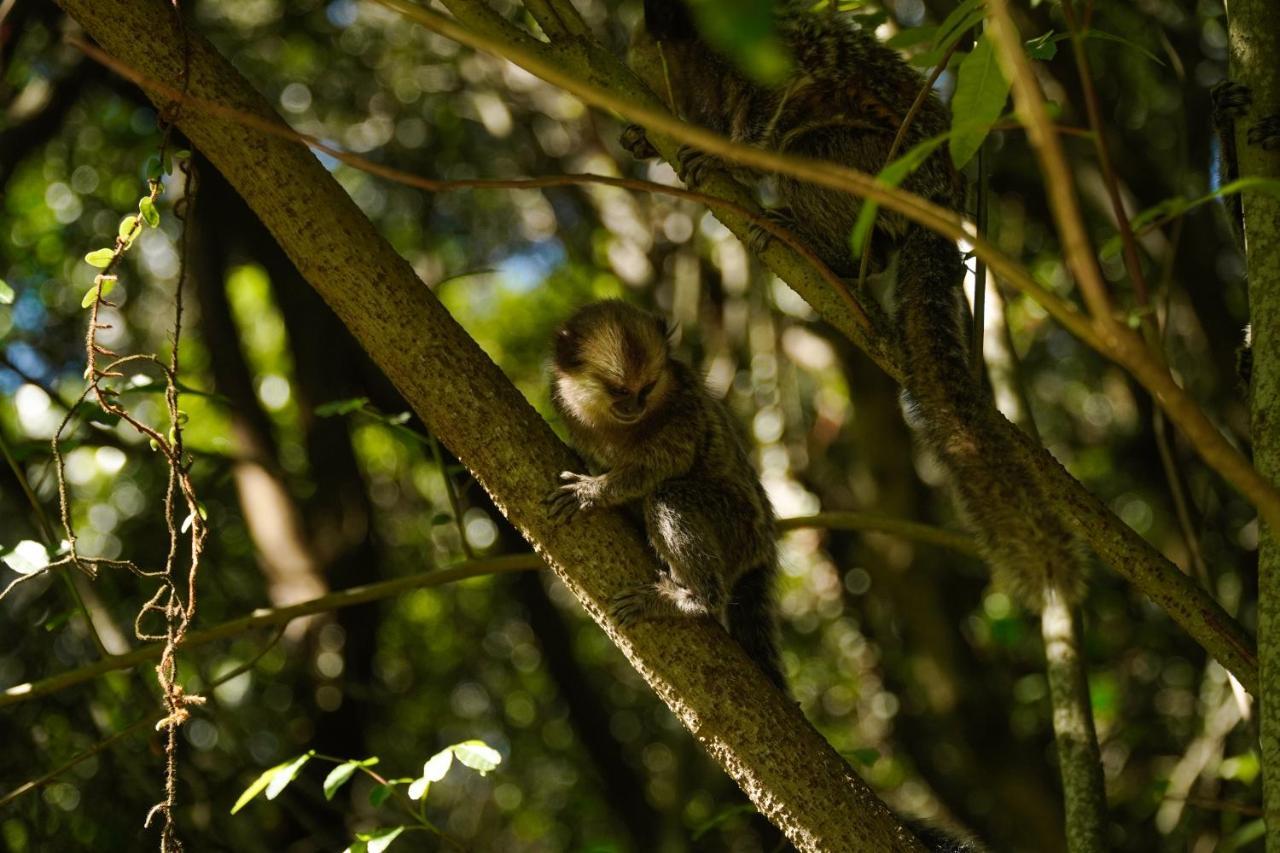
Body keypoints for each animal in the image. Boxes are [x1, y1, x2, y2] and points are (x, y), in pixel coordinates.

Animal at [545, 298, 783, 691]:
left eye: (647, 387)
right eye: (619, 391)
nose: (636, 408)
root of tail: (764, 546)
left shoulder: (682, 405)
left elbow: (666, 463)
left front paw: (593, 492)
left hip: (737, 523)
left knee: (668, 499)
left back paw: (695, 600)